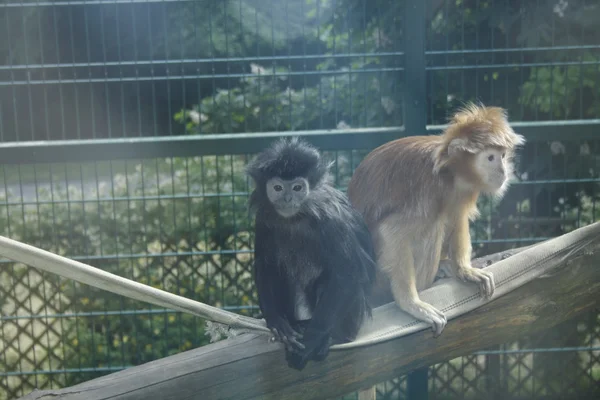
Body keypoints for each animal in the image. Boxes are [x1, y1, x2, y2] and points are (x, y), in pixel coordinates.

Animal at [346, 102, 524, 334]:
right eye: (490, 158)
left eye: (502, 156)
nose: (503, 171)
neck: (450, 173)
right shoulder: (426, 189)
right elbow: (391, 231)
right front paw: (410, 303)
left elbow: (457, 217)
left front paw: (465, 270)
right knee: (433, 224)